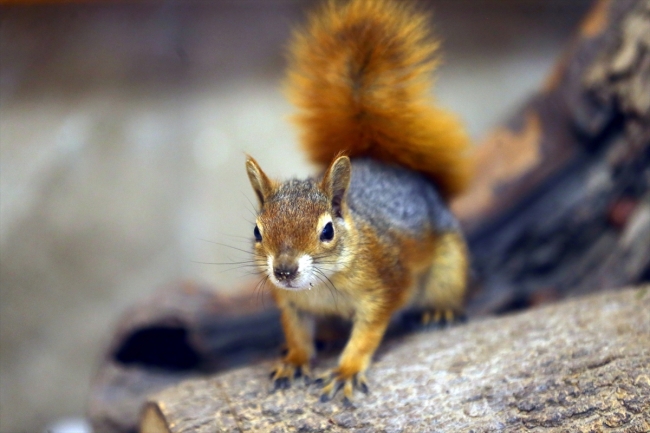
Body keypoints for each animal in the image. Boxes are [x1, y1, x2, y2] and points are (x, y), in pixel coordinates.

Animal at [243, 0, 470, 402]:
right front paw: (295, 359)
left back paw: (440, 312)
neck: (320, 287)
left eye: (328, 231)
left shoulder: (385, 286)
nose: (284, 271)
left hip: (448, 265)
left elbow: (367, 334)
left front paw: (347, 370)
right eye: (257, 231)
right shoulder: (291, 304)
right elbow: (297, 333)